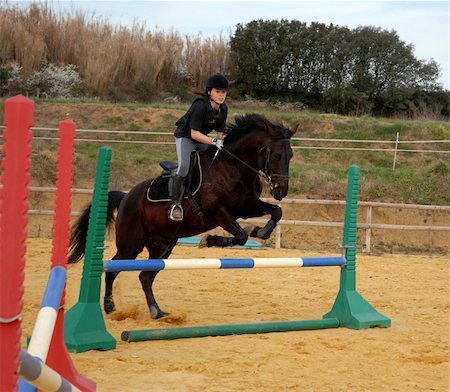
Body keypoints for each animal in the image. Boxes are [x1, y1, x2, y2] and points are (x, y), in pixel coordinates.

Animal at [67, 112, 296, 318]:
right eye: (276, 155)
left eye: (290, 156)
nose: (281, 192)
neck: (234, 167)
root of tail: (126, 197)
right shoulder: (217, 213)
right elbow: (241, 235)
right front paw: (208, 240)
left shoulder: (246, 207)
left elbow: (276, 212)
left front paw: (262, 231)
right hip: (131, 245)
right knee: (112, 269)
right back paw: (109, 306)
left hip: (162, 247)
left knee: (145, 277)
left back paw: (157, 311)